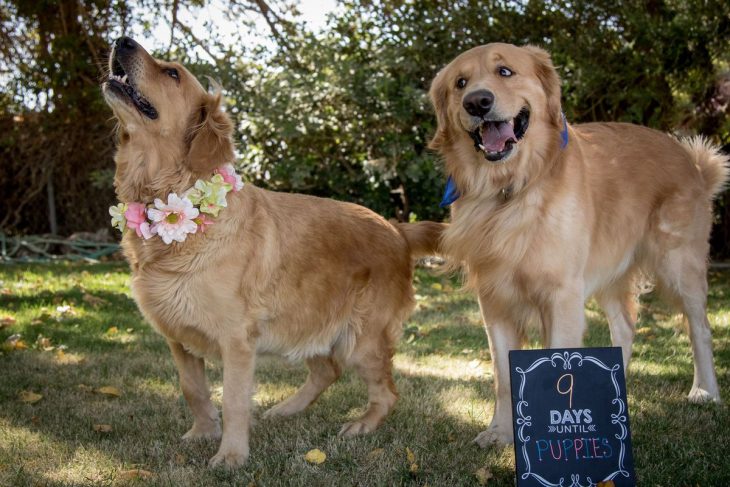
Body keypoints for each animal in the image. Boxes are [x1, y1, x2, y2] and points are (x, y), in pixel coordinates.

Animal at [101, 36, 444, 468]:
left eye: (173, 73)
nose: (122, 40)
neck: (168, 196)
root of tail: (396, 229)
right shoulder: (178, 337)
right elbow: (192, 389)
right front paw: (202, 433)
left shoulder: (236, 340)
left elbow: (233, 400)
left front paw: (231, 455)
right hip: (308, 320)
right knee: (327, 371)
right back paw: (286, 409)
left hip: (362, 340)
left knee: (385, 393)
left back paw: (361, 426)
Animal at [430, 43, 724, 448]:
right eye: (460, 83)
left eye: (505, 71)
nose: (476, 102)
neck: (509, 191)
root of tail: (690, 160)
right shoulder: (494, 302)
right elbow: (503, 378)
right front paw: (501, 432)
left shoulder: (562, 296)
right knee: (625, 328)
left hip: (680, 266)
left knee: (700, 329)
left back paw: (705, 390)